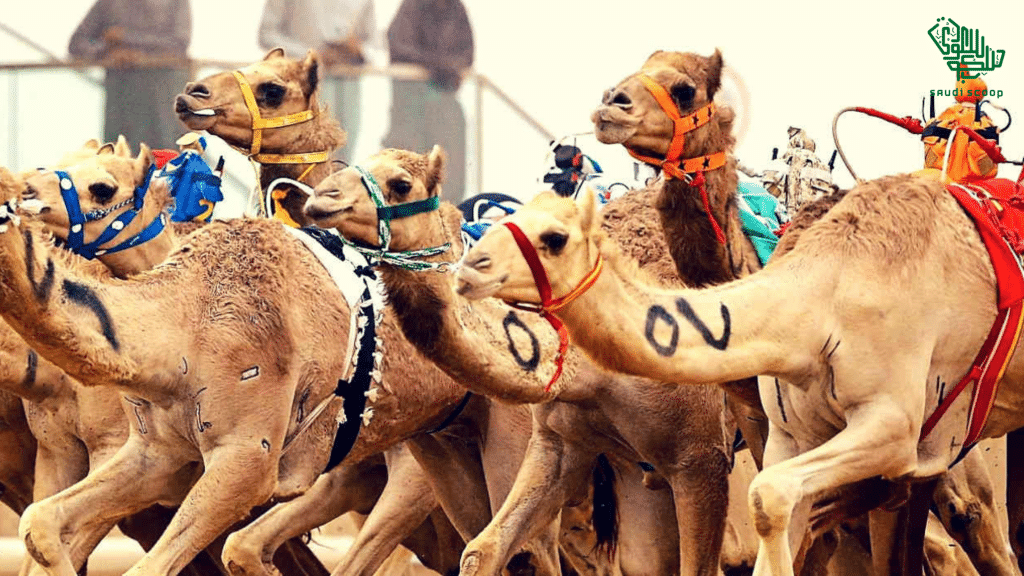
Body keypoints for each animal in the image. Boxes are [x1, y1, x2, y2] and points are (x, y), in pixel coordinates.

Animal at [456, 176, 1024, 573]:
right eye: (507, 221)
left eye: (553, 237)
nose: (468, 268)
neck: (820, 299)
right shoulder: (794, 436)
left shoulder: (893, 425)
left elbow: (762, 501)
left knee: (973, 523)